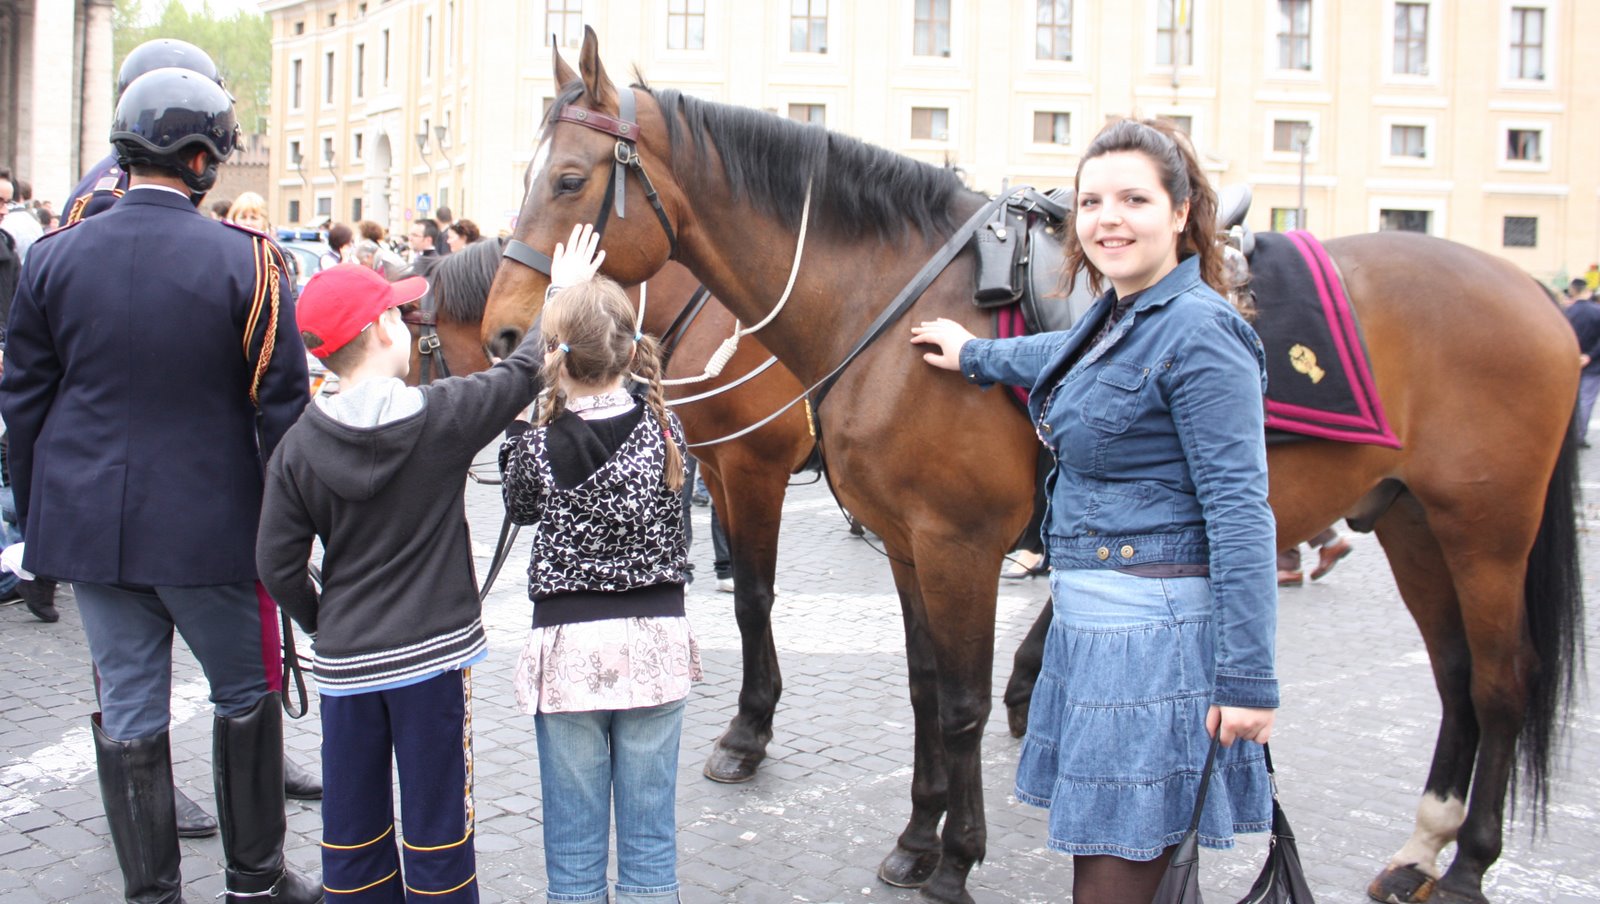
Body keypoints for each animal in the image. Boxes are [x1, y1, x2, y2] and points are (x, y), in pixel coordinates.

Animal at [416, 235, 819, 783]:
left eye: (415, 341)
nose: (504, 336)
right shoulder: (718, 471)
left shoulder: (753, 470)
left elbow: (753, 600)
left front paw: (747, 732)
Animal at [479, 32, 1583, 904]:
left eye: (569, 180)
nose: (504, 335)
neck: (889, 304)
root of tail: (1535, 296)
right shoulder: (904, 545)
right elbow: (926, 687)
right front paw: (916, 835)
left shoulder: (940, 538)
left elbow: (945, 694)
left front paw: (953, 857)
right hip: (1410, 522)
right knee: (1454, 676)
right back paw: (1423, 845)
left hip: (1484, 534)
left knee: (1501, 683)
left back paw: (1470, 863)